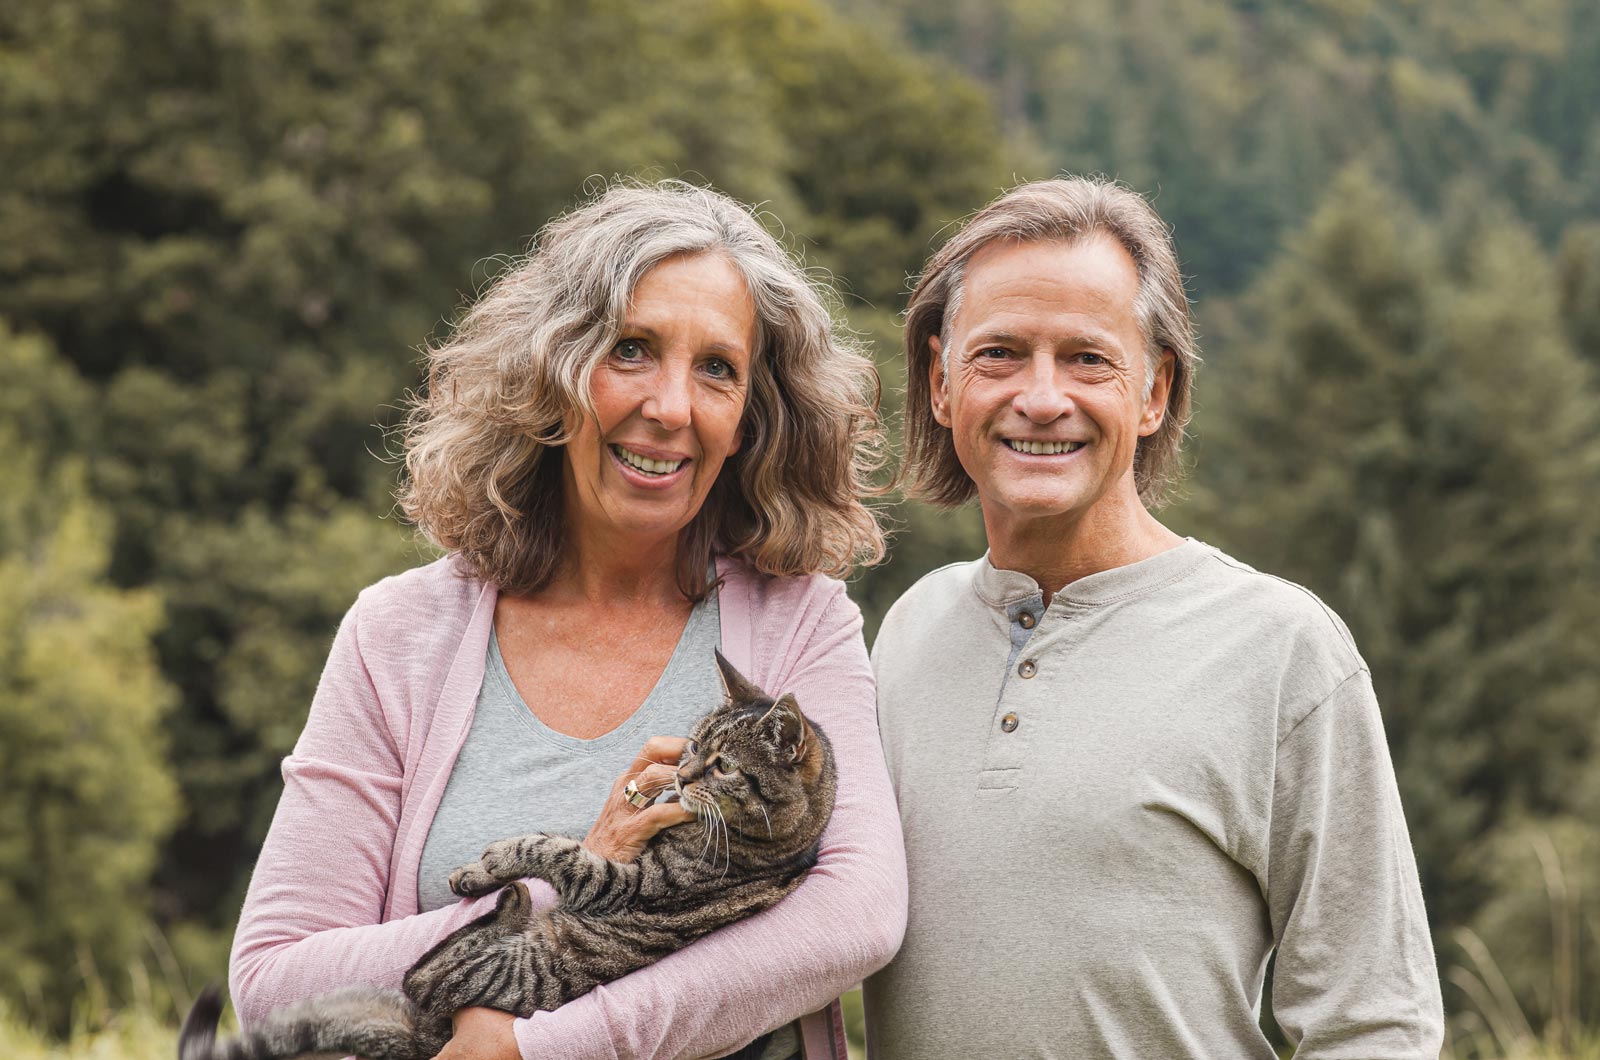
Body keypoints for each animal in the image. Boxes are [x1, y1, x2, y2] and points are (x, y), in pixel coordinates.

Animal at [178, 653, 838, 1060]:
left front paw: (491, 862)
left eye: (724, 766)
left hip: (504, 974)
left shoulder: (622, 885)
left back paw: (509, 902)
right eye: (695, 745)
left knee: (427, 974)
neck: (765, 843)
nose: (683, 773)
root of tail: (423, 1034)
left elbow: (550, 847)